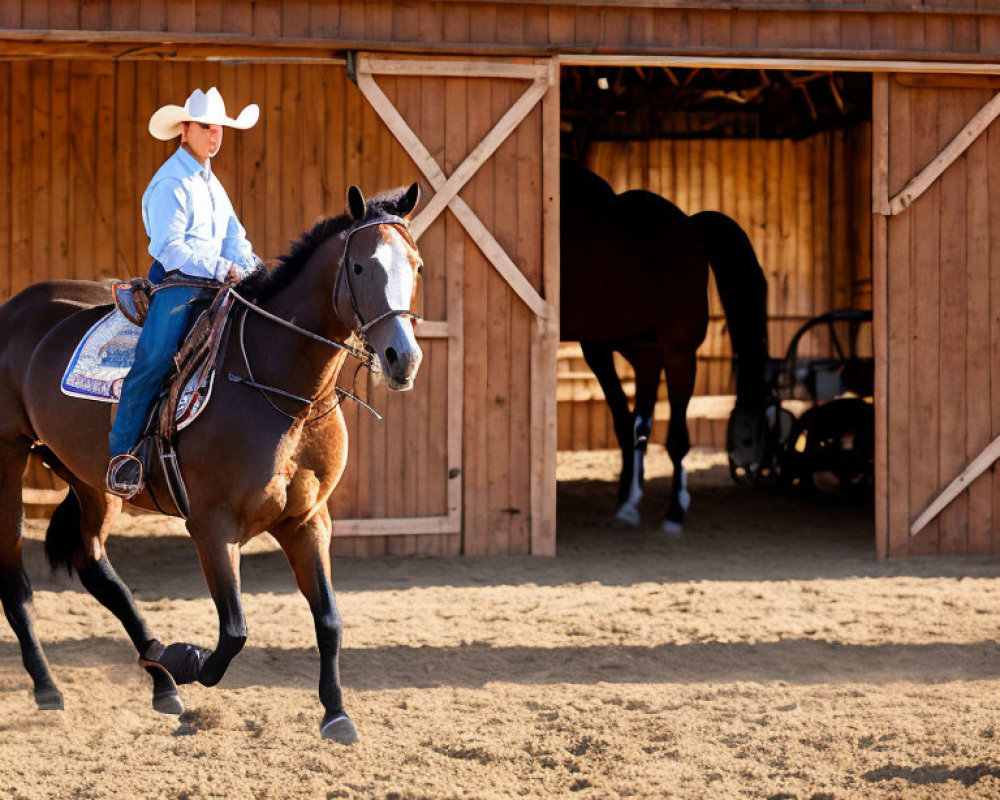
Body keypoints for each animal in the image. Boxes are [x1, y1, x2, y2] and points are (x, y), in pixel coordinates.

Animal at [0, 183, 424, 744]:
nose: (403, 358)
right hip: (7, 461)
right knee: (15, 581)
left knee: (95, 566)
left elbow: (329, 619)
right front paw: (186, 660)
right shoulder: (211, 525)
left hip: (93, 479)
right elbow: (234, 630)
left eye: (415, 265)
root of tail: (13, 310)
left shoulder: (308, 519)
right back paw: (52, 686)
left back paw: (158, 677)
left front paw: (336, 714)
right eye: (359, 266)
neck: (278, 386)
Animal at [560, 160, 768, 536]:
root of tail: (690, 225)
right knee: (635, 424)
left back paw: (673, 512)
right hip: (634, 351)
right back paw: (630, 501)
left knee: (675, 437)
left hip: (678, 353)